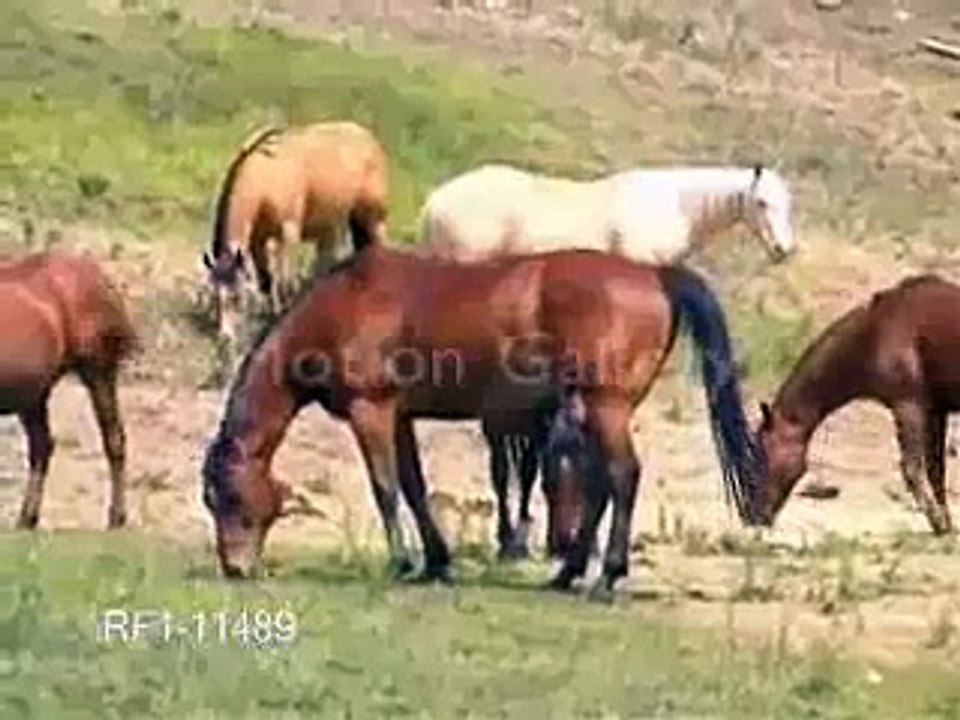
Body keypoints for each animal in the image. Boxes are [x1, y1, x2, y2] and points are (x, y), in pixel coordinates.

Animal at [0, 251, 138, 529]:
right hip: (35, 394)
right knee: (42, 446)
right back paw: (27, 518)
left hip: (99, 372)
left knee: (114, 439)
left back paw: (116, 517)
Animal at [200, 245, 765, 597]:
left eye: (228, 498)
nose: (234, 568)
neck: (344, 304)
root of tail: (653, 274)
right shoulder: (399, 416)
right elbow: (414, 487)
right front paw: (435, 563)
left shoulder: (371, 411)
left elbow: (385, 489)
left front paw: (401, 563)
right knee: (603, 483)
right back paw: (568, 573)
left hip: (606, 406)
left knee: (622, 477)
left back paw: (605, 576)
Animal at [201, 121, 389, 345]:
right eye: (213, 297)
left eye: (236, 298)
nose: (224, 337)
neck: (265, 175)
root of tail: (368, 137)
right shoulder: (257, 242)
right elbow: (266, 279)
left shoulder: (288, 234)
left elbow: (284, 282)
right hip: (334, 223)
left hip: (373, 217)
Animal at [753, 274, 960, 536]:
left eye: (762, 455)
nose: (755, 514)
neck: (874, 333)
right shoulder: (936, 411)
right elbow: (936, 471)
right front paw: (947, 523)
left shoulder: (909, 407)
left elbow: (913, 470)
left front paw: (939, 523)